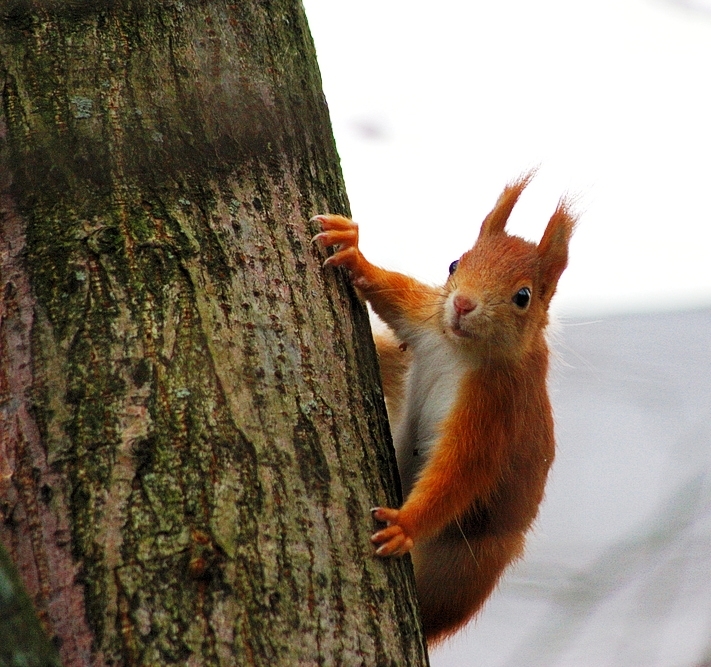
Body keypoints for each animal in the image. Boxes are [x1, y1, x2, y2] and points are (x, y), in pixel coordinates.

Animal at [312, 174, 580, 648]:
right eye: (455, 264)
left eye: (523, 296)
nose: (462, 304)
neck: (458, 348)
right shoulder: (425, 319)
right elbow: (392, 293)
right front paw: (352, 249)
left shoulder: (496, 403)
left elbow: (461, 469)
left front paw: (405, 524)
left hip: (465, 569)